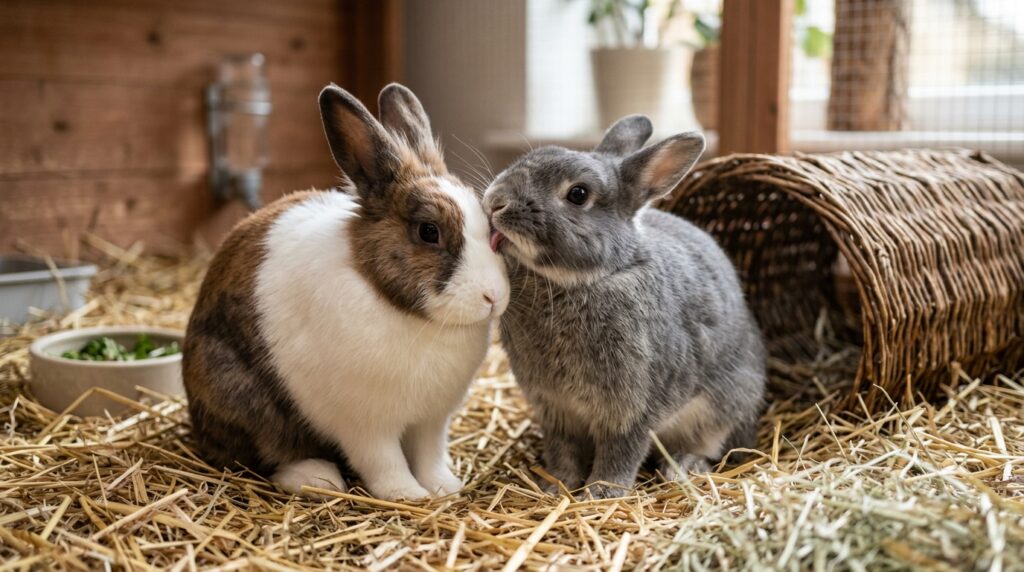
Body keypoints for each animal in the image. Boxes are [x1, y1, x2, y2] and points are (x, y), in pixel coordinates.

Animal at [183, 83, 509, 501]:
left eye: (490, 227)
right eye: (428, 232)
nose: (493, 297)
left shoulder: (431, 421)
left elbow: (429, 456)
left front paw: (444, 488)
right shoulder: (366, 426)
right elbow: (385, 463)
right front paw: (408, 495)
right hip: (242, 400)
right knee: (258, 456)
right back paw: (317, 477)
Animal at [482, 115, 765, 499]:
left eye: (578, 194)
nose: (494, 201)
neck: (581, 281)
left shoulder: (633, 407)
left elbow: (621, 452)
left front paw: (600, 494)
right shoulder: (554, 409)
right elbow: (562, 450)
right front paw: (554, 485)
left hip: (725, 406)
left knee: (712, 444)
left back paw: (684, 466)